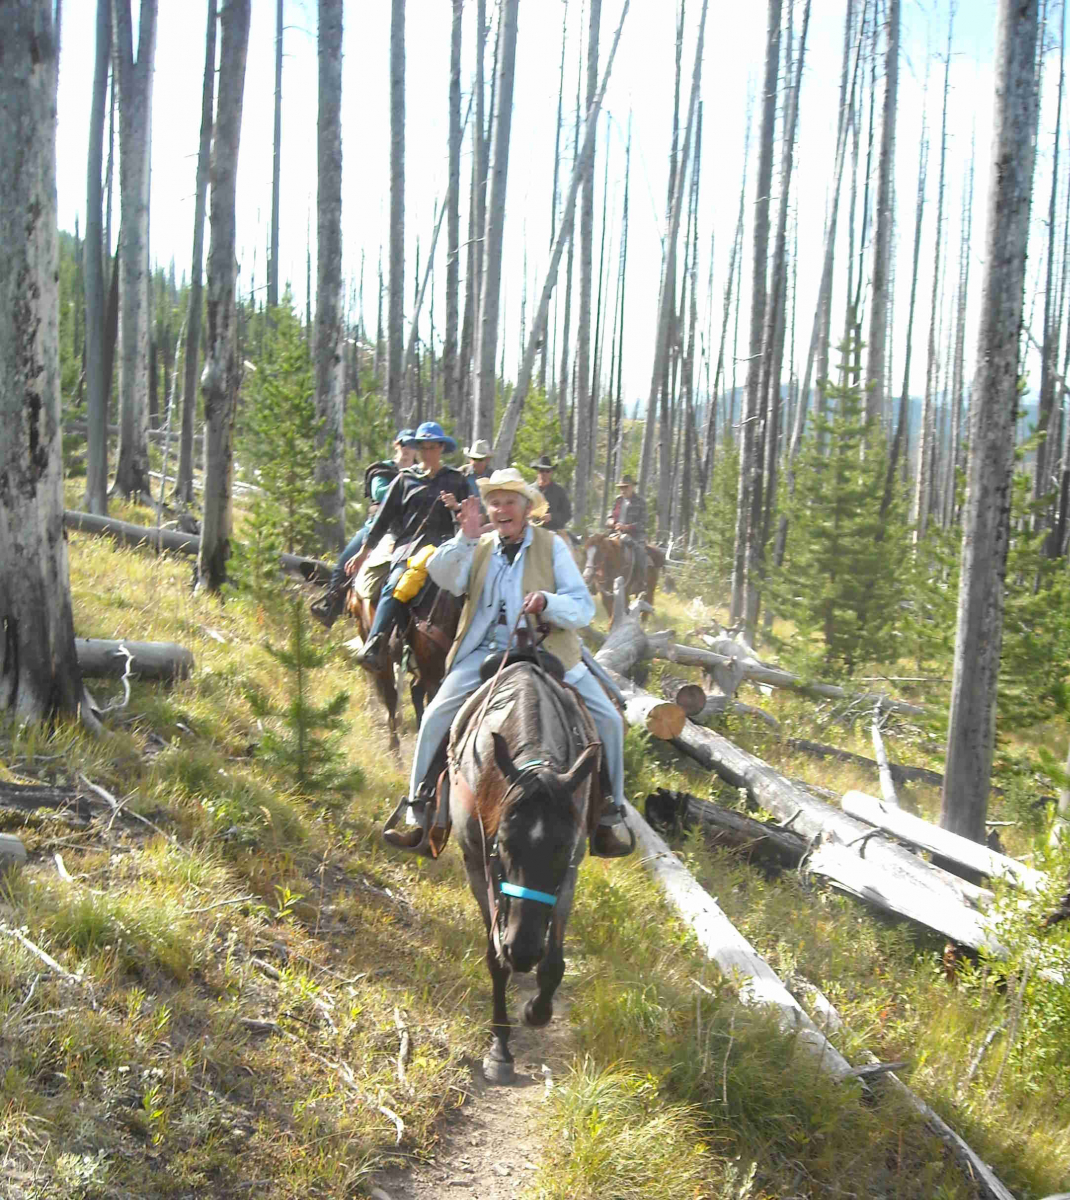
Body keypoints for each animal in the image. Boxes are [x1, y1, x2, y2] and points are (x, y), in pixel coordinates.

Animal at [446, 662, 602, 1084]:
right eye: (502, 841)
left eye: (563, 847)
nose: (524, 950)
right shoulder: (476, 866)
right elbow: (494, 960)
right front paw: (500, 1051)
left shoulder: (570, 873)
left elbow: (554, 963)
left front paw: (536, 1009)